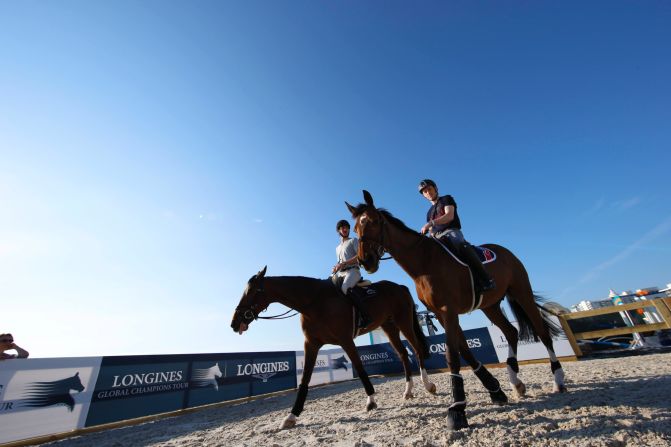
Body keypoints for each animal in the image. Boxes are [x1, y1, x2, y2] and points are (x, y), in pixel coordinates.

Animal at [232, 266, 440, 430]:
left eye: (251, 292)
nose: (234, 323)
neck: (314, 302)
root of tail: (399, 287)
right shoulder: (311, 344)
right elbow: (305, 379)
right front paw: (291, 416)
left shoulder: (345, 340)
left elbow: (360, 369)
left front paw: (371, 401)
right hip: (390, 328)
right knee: (404, 354)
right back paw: (408, 391)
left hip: (404, 323)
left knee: (417, 350)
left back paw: (428, 385)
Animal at [350, 192, 568, 430]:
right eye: (355, 228)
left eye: (373, 221)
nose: (365, 261)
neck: (424, 262)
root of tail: (504, 251)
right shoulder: (440, 313)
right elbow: (464, 350)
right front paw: (495, 390)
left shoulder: (449, 310)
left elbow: (452, 355)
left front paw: (457, 409)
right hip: (490, 306)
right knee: (511, 332)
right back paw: (515, 382)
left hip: (522, 292)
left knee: (543, 332)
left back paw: (558, 380)